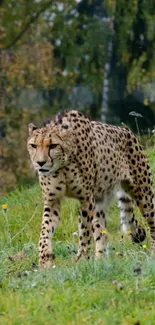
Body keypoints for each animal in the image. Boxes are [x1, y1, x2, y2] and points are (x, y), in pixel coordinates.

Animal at [27, 109, 155, 266]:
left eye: (53, 146)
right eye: (33, 145)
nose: (40, 163)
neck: (62, 165)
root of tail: (127, 131)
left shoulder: (86, 199)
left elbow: (84, 231)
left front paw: (82, 259)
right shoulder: (52, 200)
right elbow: (45, 229)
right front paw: (45, 258)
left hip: (143, 194)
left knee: (152, 221)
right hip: (100, 202)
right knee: (102, 232)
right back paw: (100, 260)